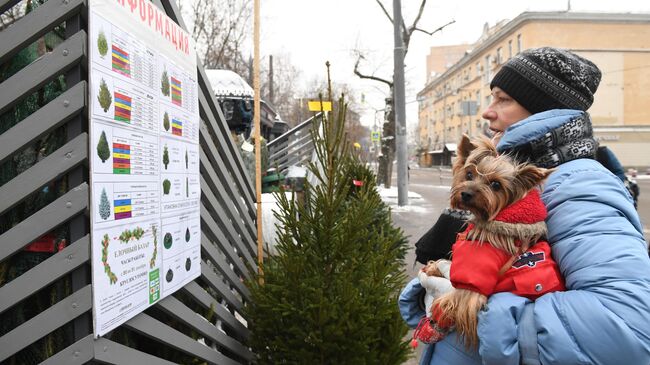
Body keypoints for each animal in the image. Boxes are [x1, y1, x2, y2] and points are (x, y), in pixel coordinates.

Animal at [426, 134, 560, 346]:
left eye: (496, 185)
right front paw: (433, 267)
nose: (466, 193)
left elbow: (455, 295)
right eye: (469, 174)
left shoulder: (472, 286)